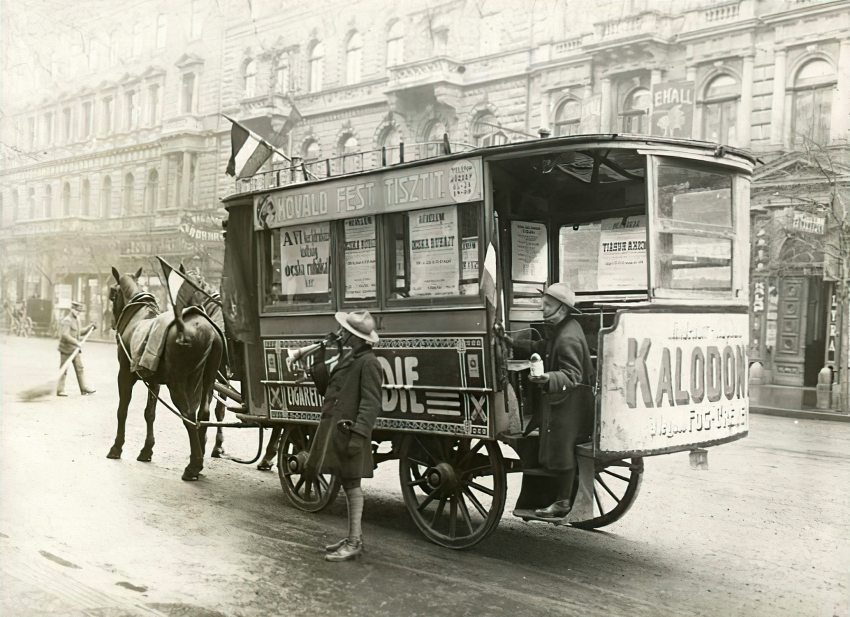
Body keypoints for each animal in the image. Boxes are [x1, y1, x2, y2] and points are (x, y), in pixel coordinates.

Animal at [107, 268, 224, 478]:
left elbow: (122, 410)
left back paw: (194, 465)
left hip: (178, 384)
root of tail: (208, 330)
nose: (112, 323)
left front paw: (117, 447)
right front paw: (147, 450)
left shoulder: (125, 375)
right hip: (208, 380)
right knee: (203, 413)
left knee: (188, 415)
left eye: (113, 294)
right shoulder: (153, 380)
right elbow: (149, 413)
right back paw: (200, 455)